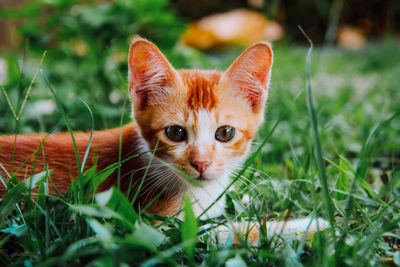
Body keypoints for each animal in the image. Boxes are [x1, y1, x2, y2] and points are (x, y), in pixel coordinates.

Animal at [0, 37, 326, 245]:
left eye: (225, 133)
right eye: (175, 133)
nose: (201, 163)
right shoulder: (148, 225)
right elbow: (221, 233)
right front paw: (308, 228)